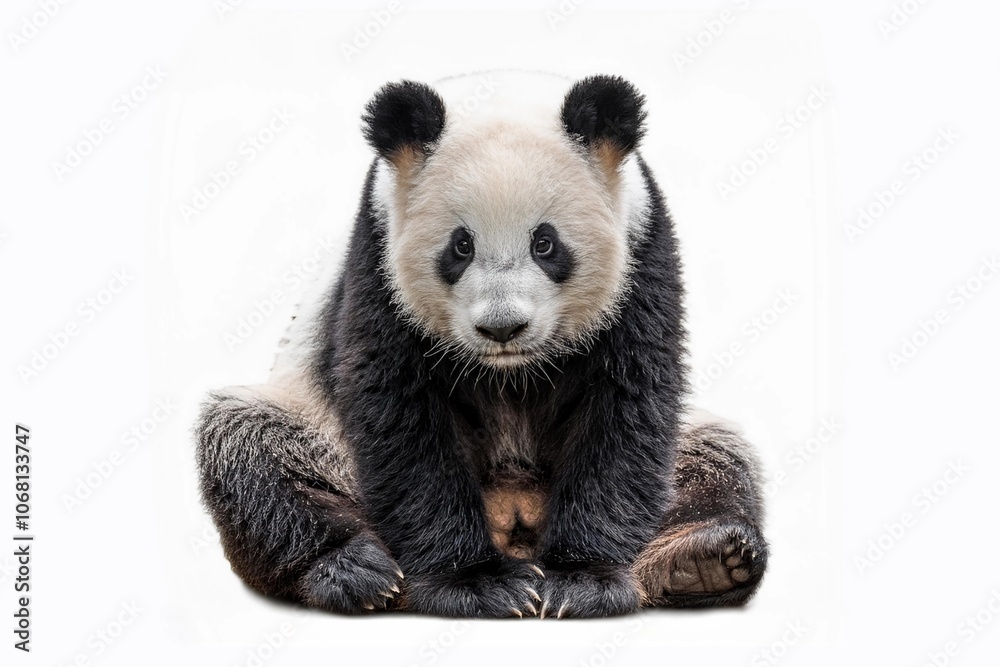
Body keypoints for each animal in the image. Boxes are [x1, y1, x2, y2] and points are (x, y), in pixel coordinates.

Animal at [196, 71, 768, 618]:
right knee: (250, 450)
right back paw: (355, 571)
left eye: (545, 243)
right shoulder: (378, 268)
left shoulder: (642, 257)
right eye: (461, 245)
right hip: (318, 431)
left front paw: (581, 581)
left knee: (716, 463)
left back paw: (705, 559)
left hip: (688, 448)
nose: (502, 328)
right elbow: (399, 415)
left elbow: (625, 411)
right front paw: (477, 584)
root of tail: (513, 515)